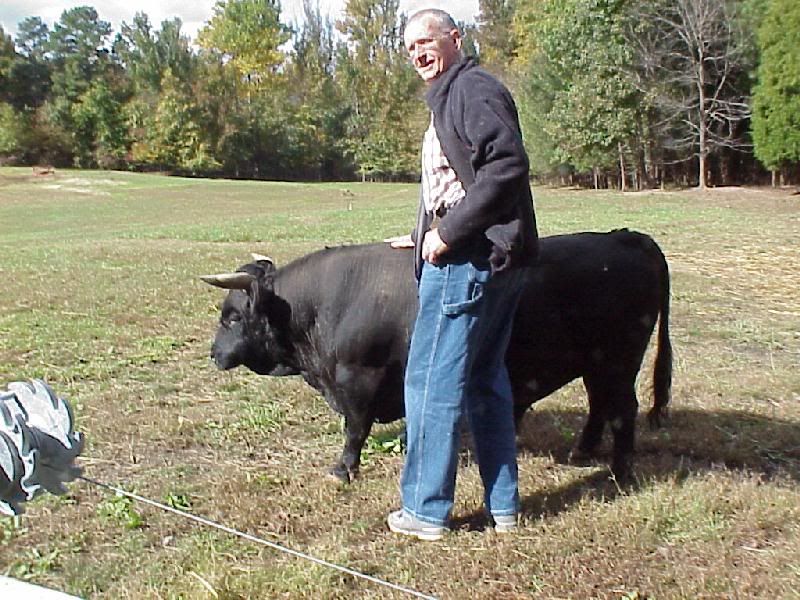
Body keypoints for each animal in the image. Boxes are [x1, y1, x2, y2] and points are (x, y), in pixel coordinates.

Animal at [201, 229, 672, 482]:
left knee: (622, 410)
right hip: (596, 363)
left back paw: (619, 472)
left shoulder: (360, 379)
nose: (213, 354)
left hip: (618, 360)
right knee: (599, 405)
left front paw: (344, 469)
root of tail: (627, 238)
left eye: (232, 317)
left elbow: (355, 429)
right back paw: (583, 453)